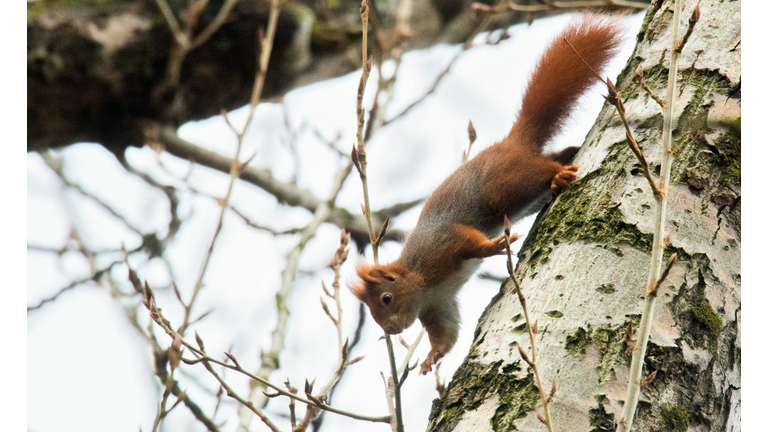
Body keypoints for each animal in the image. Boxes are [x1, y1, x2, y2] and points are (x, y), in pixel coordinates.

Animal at [352, 17, 620, 374]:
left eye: (386, 298)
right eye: (373, 313)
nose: (392, 330)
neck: (419, 278)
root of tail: (513, 142)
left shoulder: (441, 244)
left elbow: (468, 242)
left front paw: (492, 247)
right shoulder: (439, 306)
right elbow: (446, 334)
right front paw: (431, 357)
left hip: (506, 185)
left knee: (539, 171)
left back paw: (557, 174)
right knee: (555, 157)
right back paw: (567, 159)